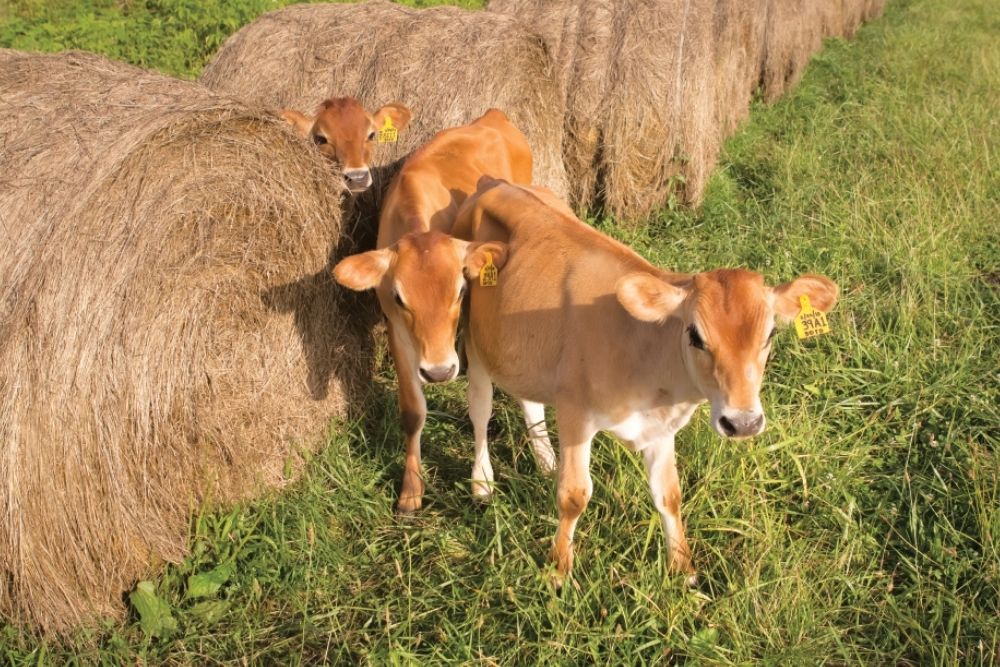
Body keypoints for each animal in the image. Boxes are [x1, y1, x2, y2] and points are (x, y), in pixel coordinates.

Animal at [332, 110, 556, 513]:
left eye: (461, 291)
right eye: (399, 297)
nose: (439, 372)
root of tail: (493, 116)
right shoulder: (398, 332)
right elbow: (413, 411)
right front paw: (411, 490)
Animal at [452, 178, 839, 583]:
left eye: (770, 335)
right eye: (695, 334)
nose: (743, 422)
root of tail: (496, 183)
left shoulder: (660, 427)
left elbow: (669, 495)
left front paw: (683, 570)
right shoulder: (575, 412)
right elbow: (574, 495)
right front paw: (558, 571)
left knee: (529, 402)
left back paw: (545, 462)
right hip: (473, 345)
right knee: (480, 411)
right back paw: (482, 483)